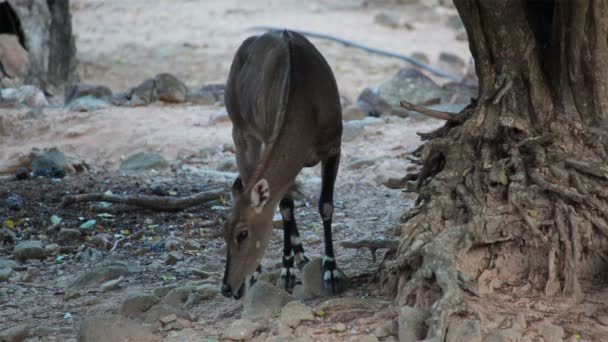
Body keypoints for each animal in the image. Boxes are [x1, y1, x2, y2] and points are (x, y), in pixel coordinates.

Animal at [221, 31, 346, 300]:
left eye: (243, 233)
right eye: (222, 232)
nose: (227, 288)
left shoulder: (334, 145)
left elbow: (326, 205)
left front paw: (332, 272)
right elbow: (286, 207)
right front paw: (286, 272)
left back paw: (302, 257)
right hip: (242, 133)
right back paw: (263, 271)